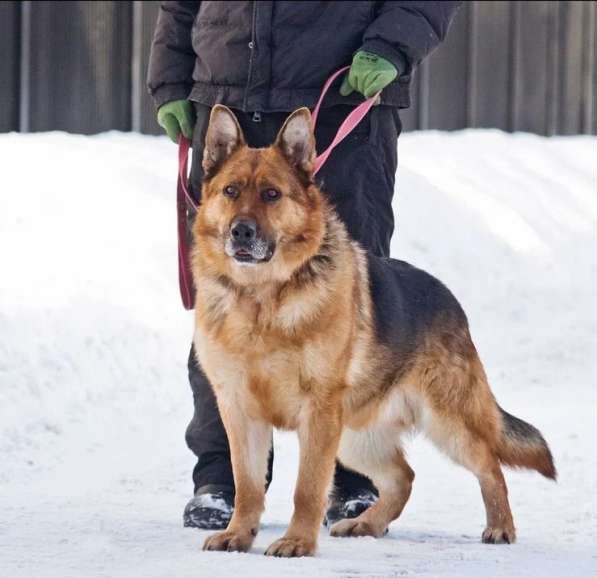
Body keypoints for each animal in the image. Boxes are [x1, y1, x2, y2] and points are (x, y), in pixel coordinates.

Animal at [191, 106, 556, 556]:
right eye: (231, 191)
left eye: (271, 194)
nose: (240, 231)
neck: (261, 298)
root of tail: (448, 297)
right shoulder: (240, 411)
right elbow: (247, 486)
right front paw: (239, 534)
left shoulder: (318, 412)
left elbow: (307, 488)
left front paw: (297, 541)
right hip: (353, 436)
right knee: (403, 477)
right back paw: (367, 523)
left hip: (444, 422)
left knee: (490, 465)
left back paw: (500, 527)